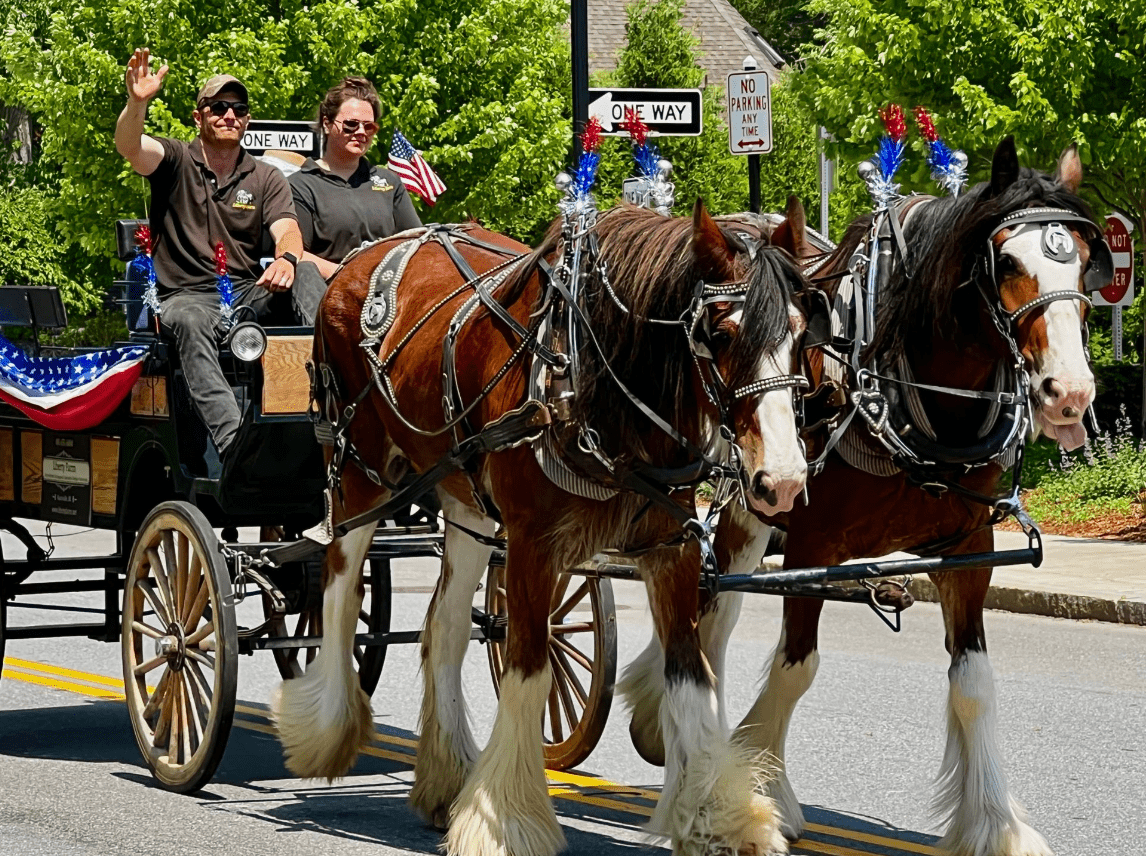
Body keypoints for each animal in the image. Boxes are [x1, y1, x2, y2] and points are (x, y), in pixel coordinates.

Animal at [273, 202, 815, 856]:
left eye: (801, 333)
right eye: (723, 333)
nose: (781, 481)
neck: (597, 387)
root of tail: (360, 259)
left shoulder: (672, 543)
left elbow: (691, 672)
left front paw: (722, 815)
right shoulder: (533, 542)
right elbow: (528, 670)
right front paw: (504, 818)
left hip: (466, 499)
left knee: (443, 628)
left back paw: (446, 777)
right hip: (360, 469)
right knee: (338, 588)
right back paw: (325, 730)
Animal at [623, 142, 1104, 856]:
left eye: (1081, 253)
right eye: (1008, 262)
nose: (1069, 392)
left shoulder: (970, 546)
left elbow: (974, 684)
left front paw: (996, 825)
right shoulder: (812, 544)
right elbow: (795, 667)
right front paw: (763, 786)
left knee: (714, 617)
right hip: (742, 504)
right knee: (714, 613)